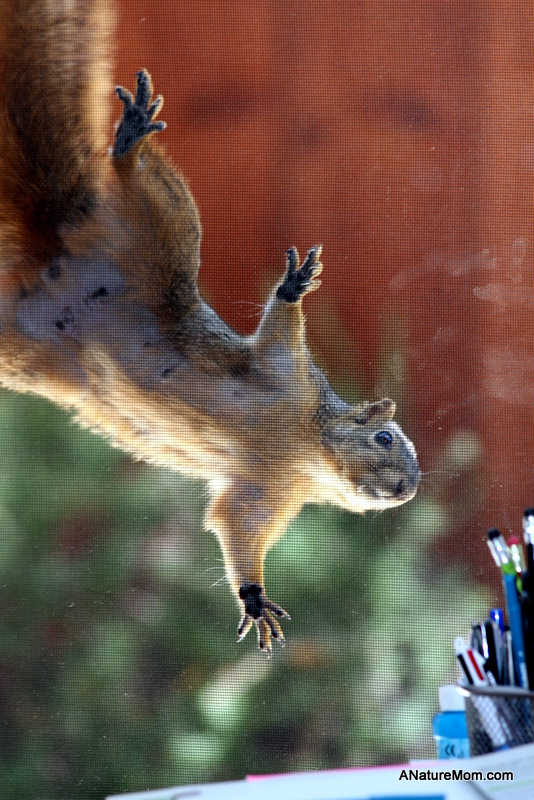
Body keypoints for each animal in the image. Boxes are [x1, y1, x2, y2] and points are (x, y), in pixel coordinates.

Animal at [0, 0, 420, 655]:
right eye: (383, 438)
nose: (407, 490)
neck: (302, 452)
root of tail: (56, 262)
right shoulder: (288, 376)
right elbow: (279, 333)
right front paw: (293, 284)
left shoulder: (265, 492)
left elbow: (233, 526)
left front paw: (254, 598)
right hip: (159, 241)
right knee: (145, 191)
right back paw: (131, 138)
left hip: (14, 345)